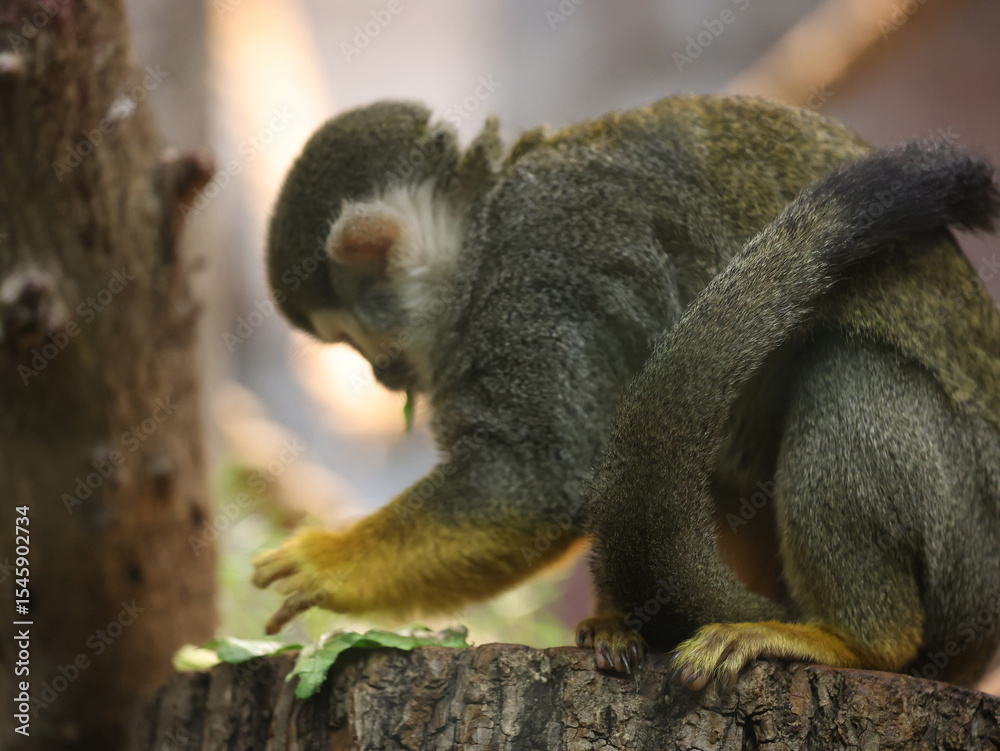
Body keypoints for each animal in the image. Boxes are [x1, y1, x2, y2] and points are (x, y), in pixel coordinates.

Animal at [253, 95, 1000, 689]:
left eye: (356, 339)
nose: (383, 377)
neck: (483, 227)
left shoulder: (537, 274)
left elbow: (536, 483)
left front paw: (325, 562)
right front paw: (618, 622)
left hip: (966, 557)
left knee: (850, 372)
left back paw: (856, 641)